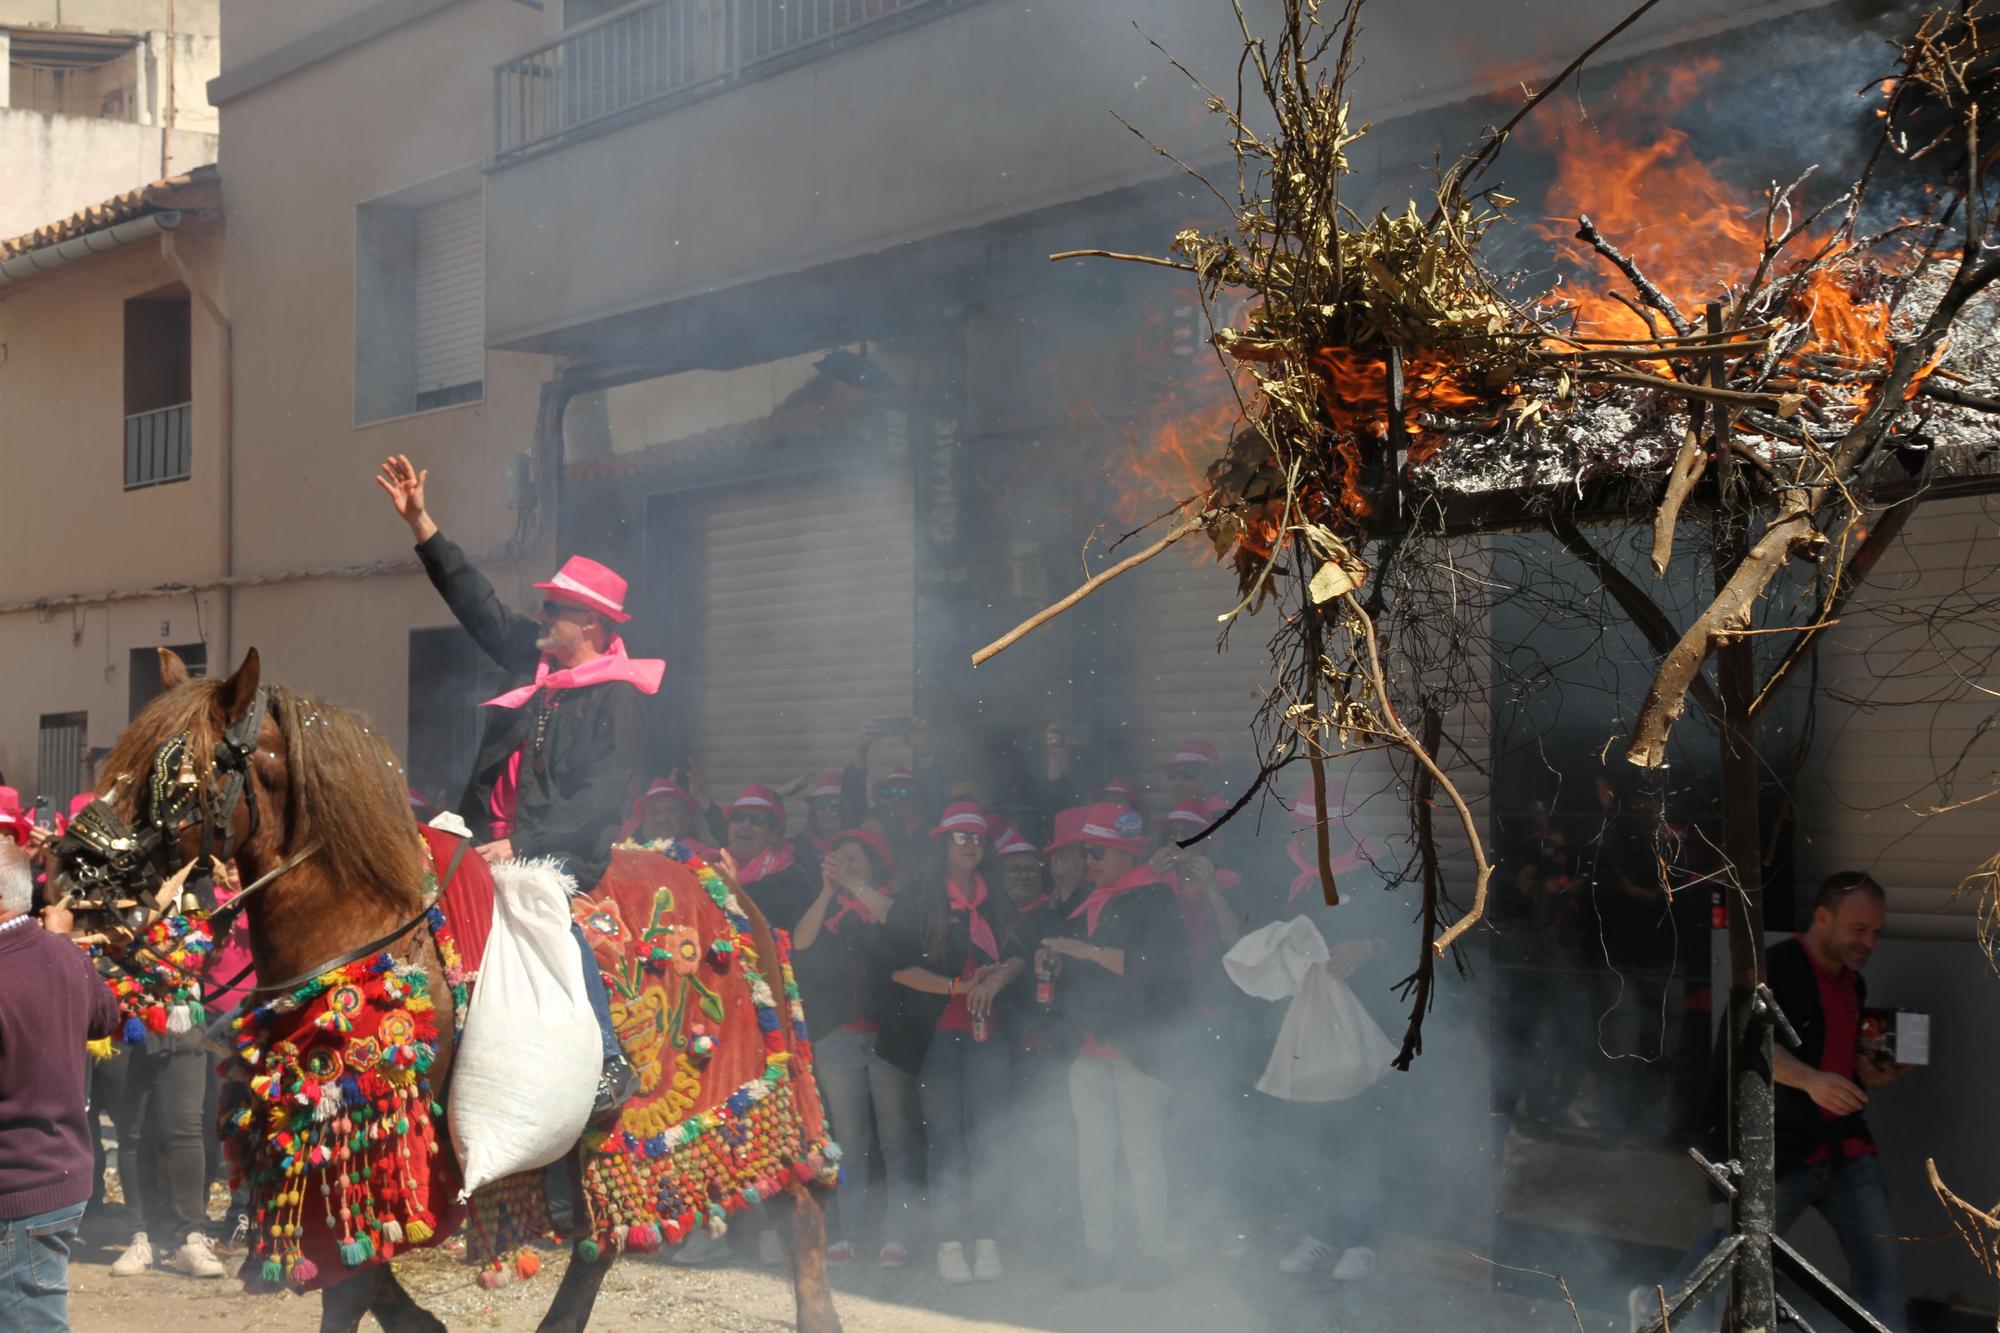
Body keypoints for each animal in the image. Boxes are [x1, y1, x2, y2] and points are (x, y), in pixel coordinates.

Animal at [54, 652, 836, 1328]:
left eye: (176, 768)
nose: (70, 867)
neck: (363, 922)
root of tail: (722, 879)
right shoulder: (316, 1133)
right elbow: (359, 1280)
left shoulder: (375, 1133)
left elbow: (353, 1284)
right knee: (599, 1242)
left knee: (795, 1208)